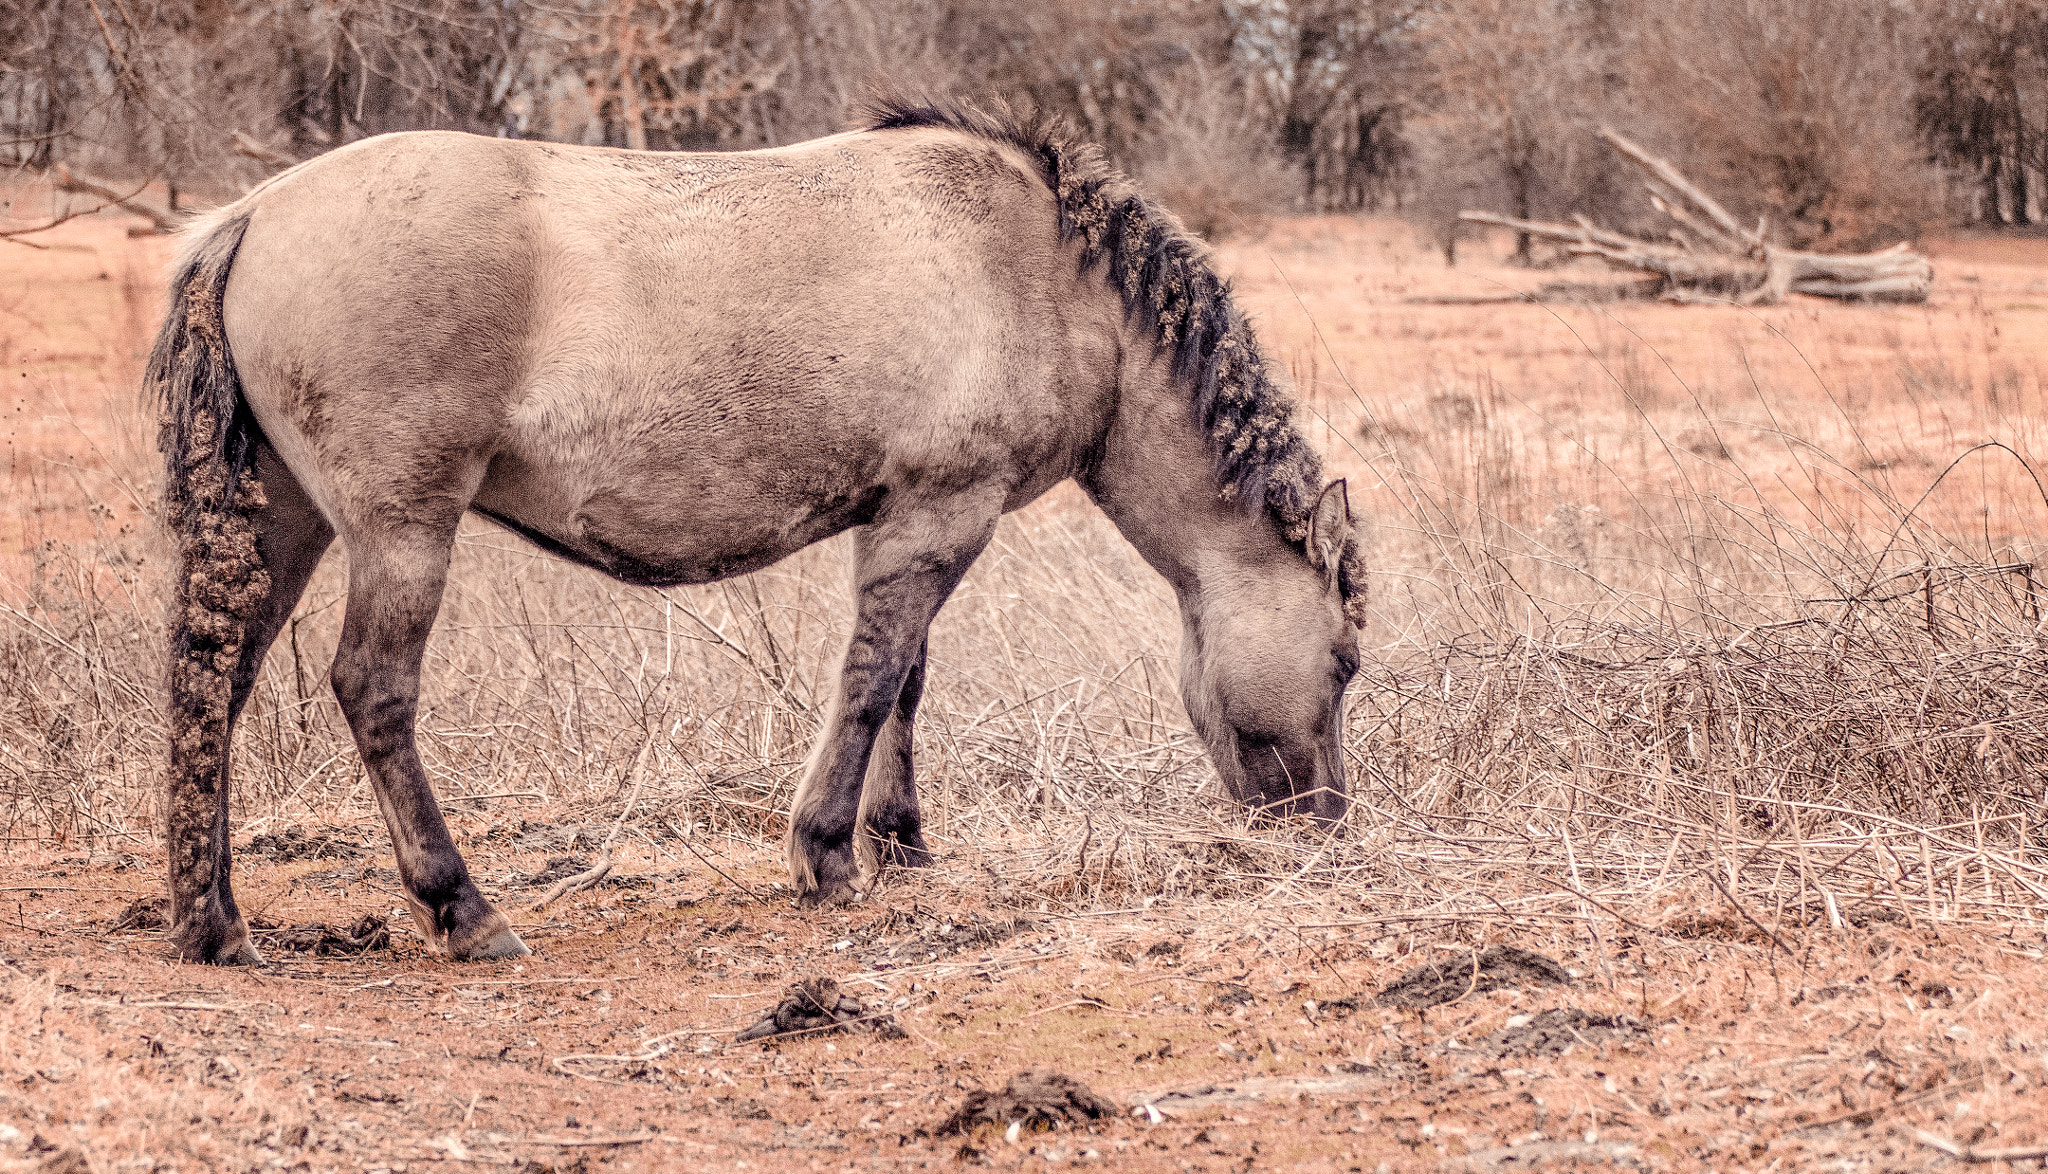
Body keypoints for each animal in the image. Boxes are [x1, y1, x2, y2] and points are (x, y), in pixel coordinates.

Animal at [148, 100, 1369, 965]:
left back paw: (213, 921)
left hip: (287, 524)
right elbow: (871, 683)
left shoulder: (912, 519)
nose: (1328, 826)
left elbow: (905, 679)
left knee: (216, 678)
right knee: (372, 690)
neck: (1043, 273)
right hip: (404, 528)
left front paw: (902, 844)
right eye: (1347, 661)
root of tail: (253, 216)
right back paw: (464, 911)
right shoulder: (941, 512)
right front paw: (829, 853)